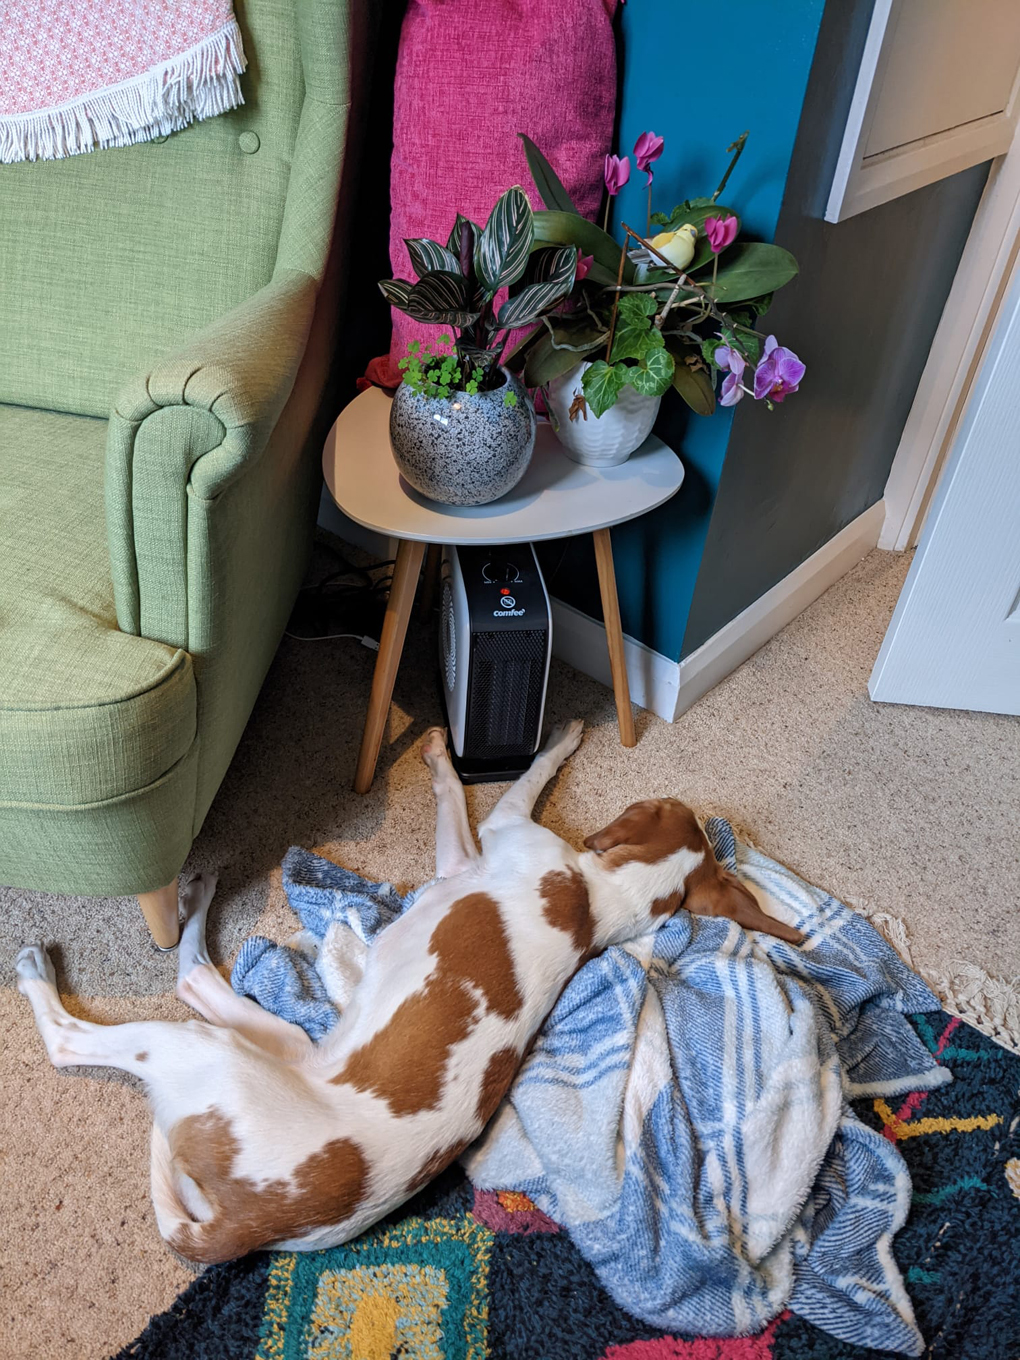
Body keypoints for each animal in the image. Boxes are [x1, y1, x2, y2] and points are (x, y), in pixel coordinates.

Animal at [11, 723, 805, 1262]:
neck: (597, 901)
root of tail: (249, 1222)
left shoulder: (480, 843)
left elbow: (511, 775)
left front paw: (541, 740)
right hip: (291, 1045)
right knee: (204, 983)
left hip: (204, 1054)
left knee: (123, 1013)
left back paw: (49, 968)